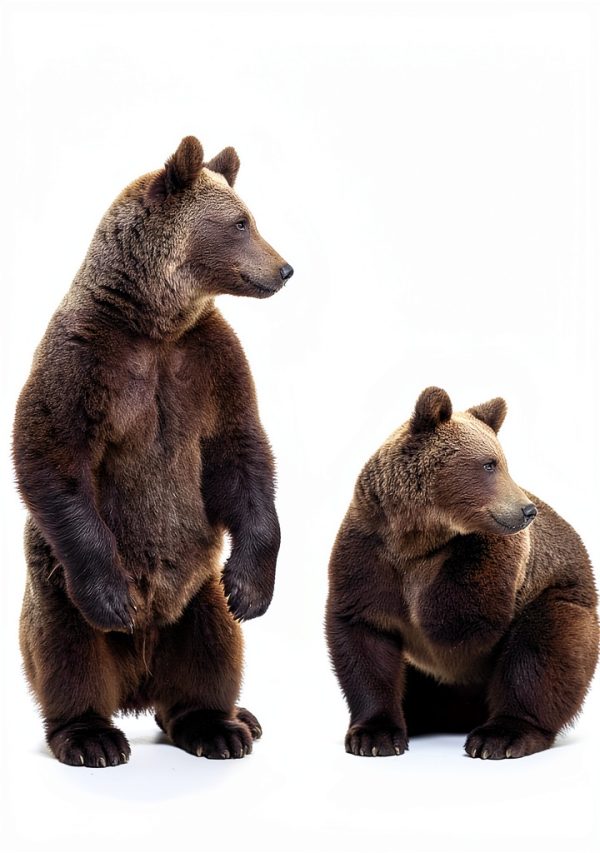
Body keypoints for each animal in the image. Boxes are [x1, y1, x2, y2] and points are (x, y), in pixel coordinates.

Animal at [13, 135, 293, 767]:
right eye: (241, 222)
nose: (285, 267)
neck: (156, 323)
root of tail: (137, 688)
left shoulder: (209, 363)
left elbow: (241, 453)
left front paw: (252, 587)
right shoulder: (84, 359)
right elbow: (51, 458)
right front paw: (113, 598)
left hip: (195, 594)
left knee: (212, 649)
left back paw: (220, 724)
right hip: (54, 588)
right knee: (68, 654)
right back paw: (91, 736)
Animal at [326, 387, 598, 759]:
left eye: (502, 462)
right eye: (489, 464)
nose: (527, 510)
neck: (416, 538)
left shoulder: (496, 561)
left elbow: (462, 623)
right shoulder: (368, 552)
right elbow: (364, 636)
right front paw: (374, 736)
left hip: (561, 598)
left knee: (542, 652)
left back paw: (500, 736)